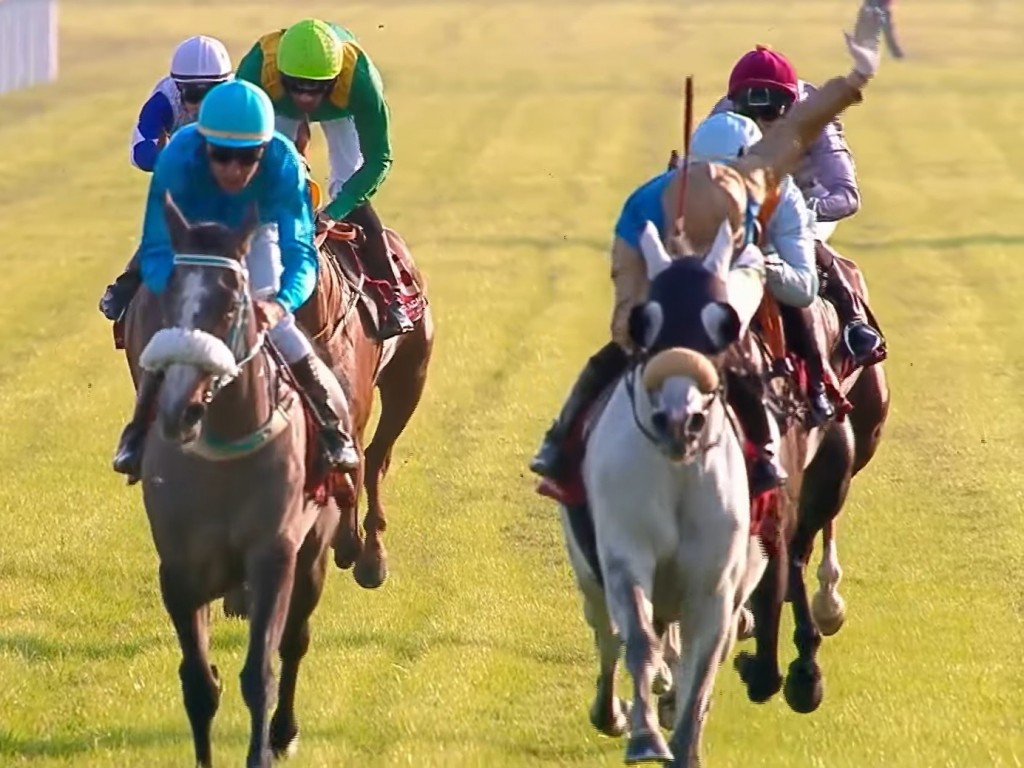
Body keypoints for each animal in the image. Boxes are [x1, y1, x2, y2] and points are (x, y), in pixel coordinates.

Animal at [121, 193, 346, 768]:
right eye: (169, 300)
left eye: (229, 305)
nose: (178, 410)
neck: (221, 452)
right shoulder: (179, 568)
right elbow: (200, 683)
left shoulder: (273, 556)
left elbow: (259, 673)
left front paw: (263, 748)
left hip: (314, 550)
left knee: (295, 640)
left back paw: (284, 729)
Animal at [565, 222, 770, 768]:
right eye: (645, 321)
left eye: (724, 323)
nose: (680, 421)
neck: (677, 472)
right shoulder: (624, 552)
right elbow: (636, 638)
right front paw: (643, 735)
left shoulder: (716, 581)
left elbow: (705, 664)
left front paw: (685, 745)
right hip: (588, 571)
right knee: (608, 635)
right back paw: (611, 711)